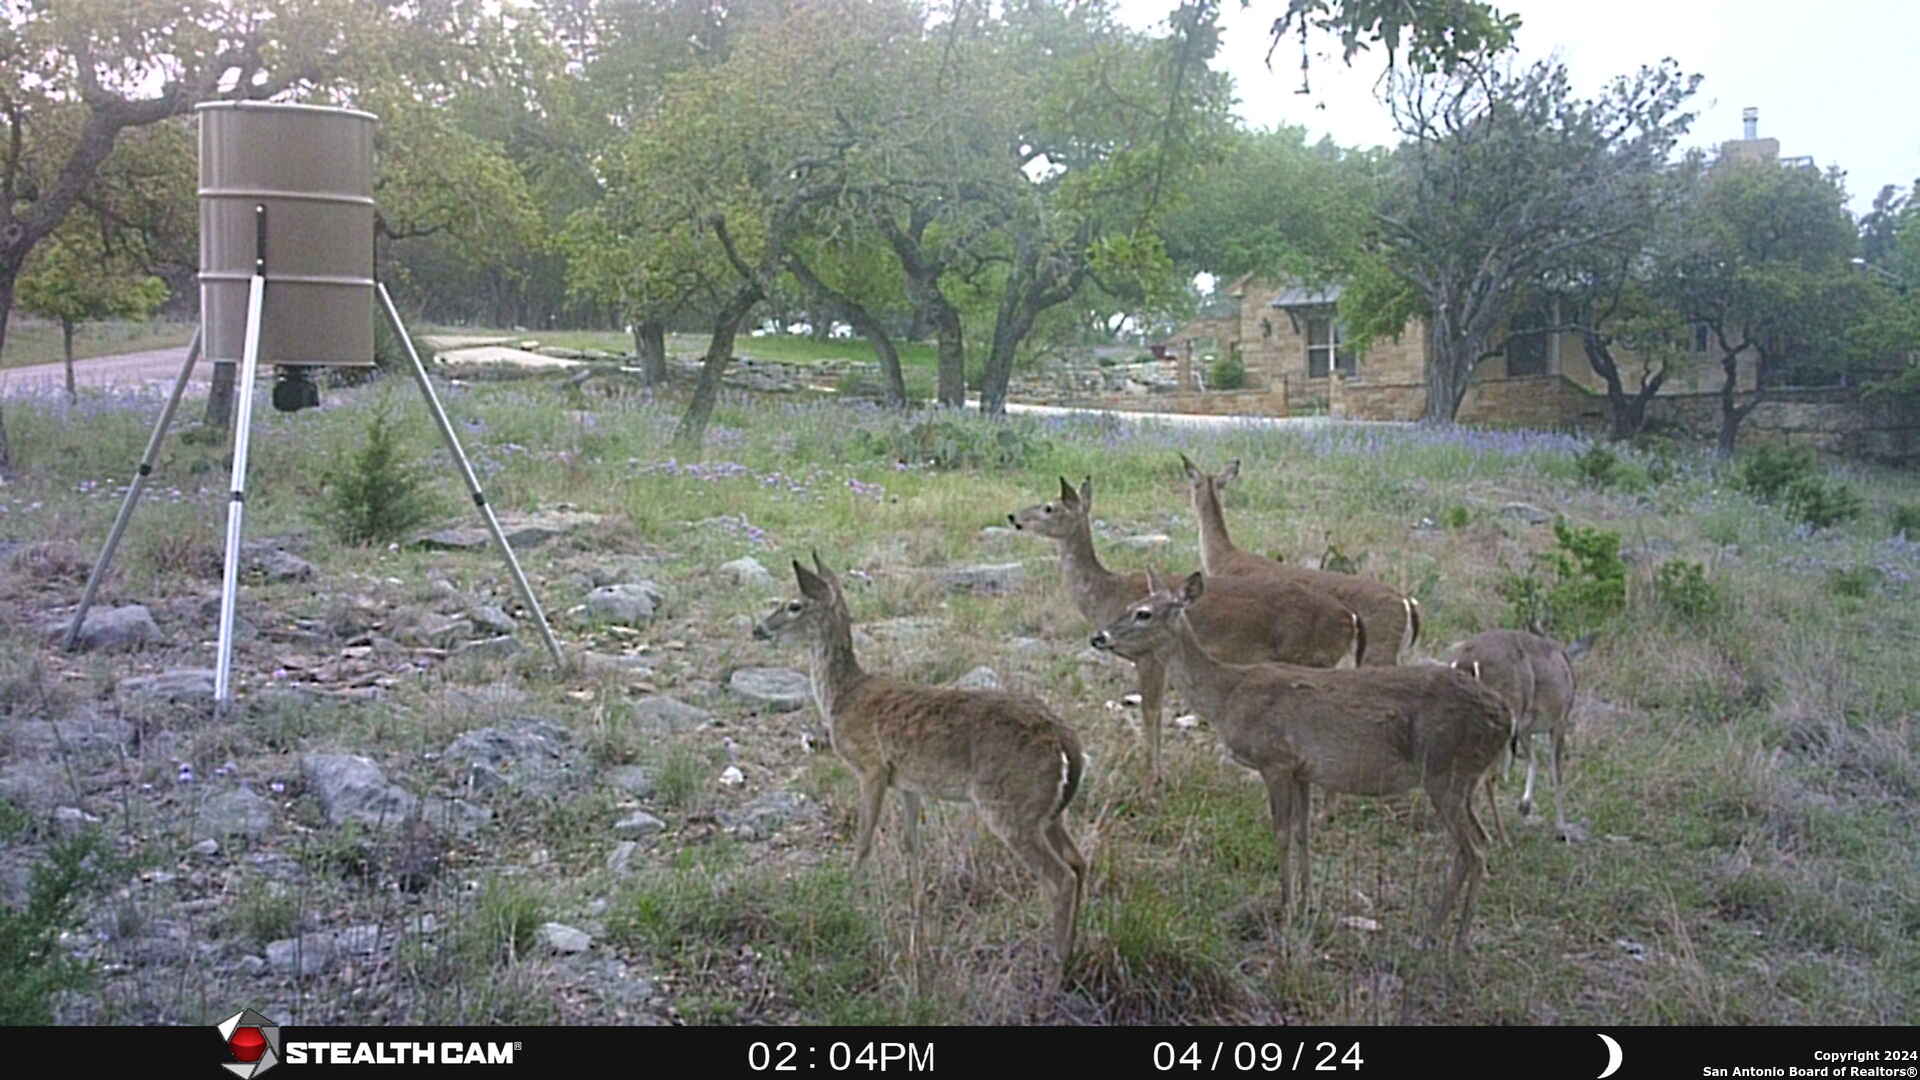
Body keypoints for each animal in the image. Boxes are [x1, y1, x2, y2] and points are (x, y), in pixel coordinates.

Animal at [752, 553, 1087, 990]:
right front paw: (916, 907)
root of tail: (1067, 744)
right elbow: (912, 845)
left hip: (1009, 805)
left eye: (794, 605)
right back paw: (1072, 954)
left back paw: (1053, 974)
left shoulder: (871, 767)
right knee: (1079, 863)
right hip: (1045, 811)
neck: (842, 697)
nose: (757, 628)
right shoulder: (907, 783)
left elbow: (864, 841)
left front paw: (847, 895)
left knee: (1059, 878)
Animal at [1009, 476, 1365, 780]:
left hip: (1310, 658)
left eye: (1049, 507)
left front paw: (1153, 774)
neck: (1106, 592)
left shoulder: (1148, 656)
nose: (1013, 516)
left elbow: (1152, 711)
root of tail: (1350, 618)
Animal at [1089, 570, 1510, 956]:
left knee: (1473, 849)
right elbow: (1305, 833)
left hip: (1444, 771)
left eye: (1143, 613)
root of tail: (1505, 718)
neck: (1228, 695)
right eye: (1130, 604)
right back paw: (1448, 934)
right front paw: (1308, 904)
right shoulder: (1304, 769)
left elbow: (1281, 833)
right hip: (1463, 779)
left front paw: (1287, 908)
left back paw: (1446, 938)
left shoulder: (1274, 760)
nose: (1099, 637)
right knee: (1479, 842)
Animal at [1449, 628, 1580, 844]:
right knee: (1486, 777)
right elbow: (1556, 774)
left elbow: (1534, 759)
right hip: (1503, 721)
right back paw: (1499, 838)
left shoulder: (1525, 730)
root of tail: (1467, 663)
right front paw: (1562, 830)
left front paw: (1525, 805)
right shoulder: (1558, 723)